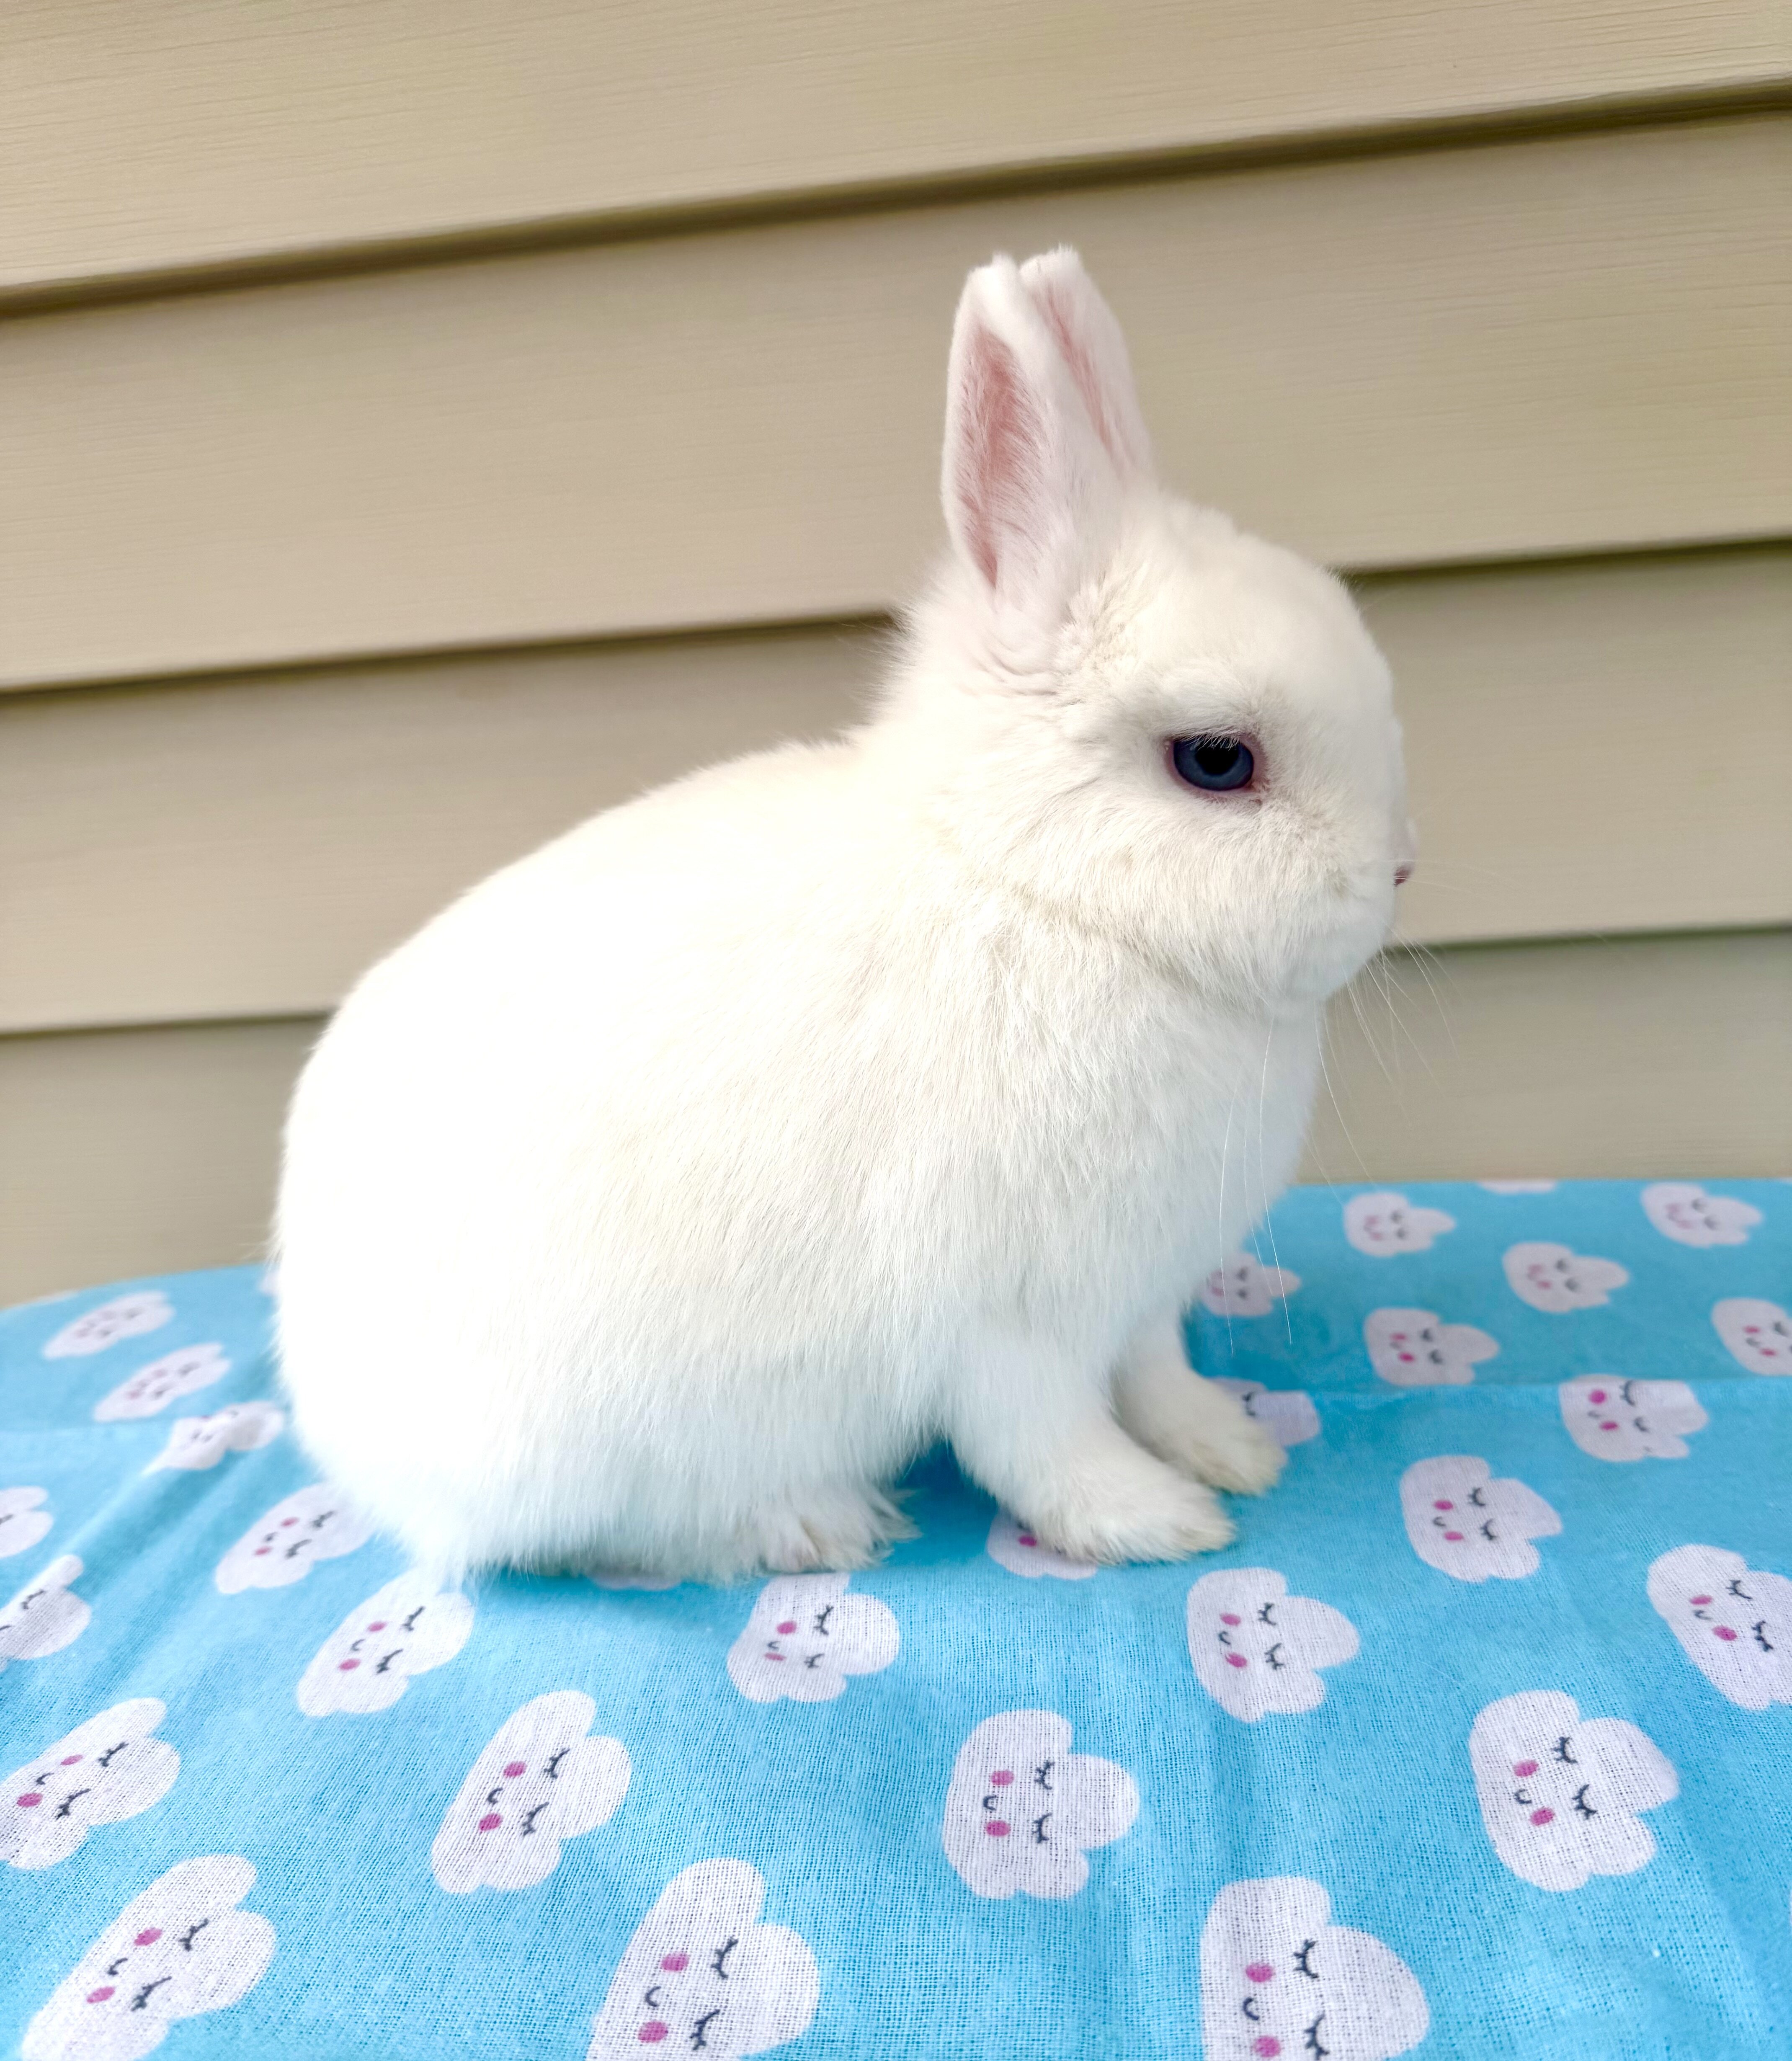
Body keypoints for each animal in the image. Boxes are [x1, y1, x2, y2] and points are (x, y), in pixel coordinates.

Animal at [274, 247, 1414, 1584]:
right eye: (1215, 761)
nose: (1398, 873)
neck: (1036, 891)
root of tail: (342, 1429)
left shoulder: (1135, 1303)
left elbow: (1157, 1380)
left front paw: (1231, 1452)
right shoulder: (1004, 1322)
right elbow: (1043, 1439)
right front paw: (1152, 1522)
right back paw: (813, 1523)